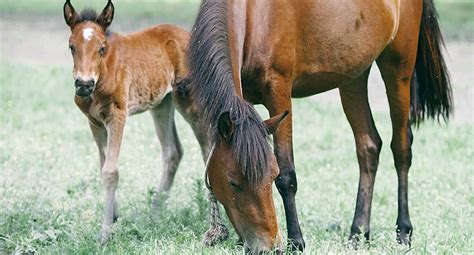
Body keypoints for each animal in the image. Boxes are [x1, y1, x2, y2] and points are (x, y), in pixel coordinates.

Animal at [62, 0, 209, 243]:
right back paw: (155, 214)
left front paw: (105, 233)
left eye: (101, 48)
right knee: (173, 152)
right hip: (162, 104)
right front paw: (114, 217)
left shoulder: (117, 116)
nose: (83, 84)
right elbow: (103, 165)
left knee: (208, 148)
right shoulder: (95, 123)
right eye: (71, 47)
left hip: (189, 102)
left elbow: (111, 171)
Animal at [185, 0, 452, 252]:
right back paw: (358, 233)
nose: (267, 246)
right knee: (369, 147)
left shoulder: (279, 91)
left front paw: (296, 242)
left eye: (271, 176)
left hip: (398, 69)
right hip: (353, 76)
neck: (254, 16)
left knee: (401, 148)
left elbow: (287, 174)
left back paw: (403, 232)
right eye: (232, 182)